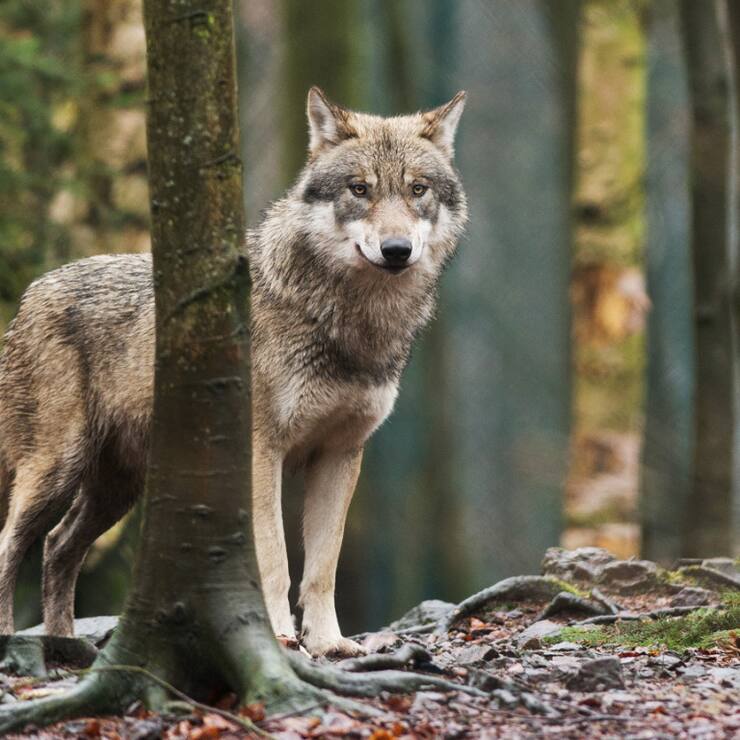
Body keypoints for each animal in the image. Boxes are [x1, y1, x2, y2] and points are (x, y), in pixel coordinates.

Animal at [0, 87, 467, 656]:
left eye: (418, 189)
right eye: (360, 189)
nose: (396, 250)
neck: (349, 322)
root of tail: (30, 293)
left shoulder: (341, 453)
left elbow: (322, 568)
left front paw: (328, 643)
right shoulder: (261, 451)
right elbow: (274, 560)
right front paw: (281, 638)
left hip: (116, 490)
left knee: (57, 545)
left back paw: (65, 646)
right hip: (55, 470)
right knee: (12, 544)